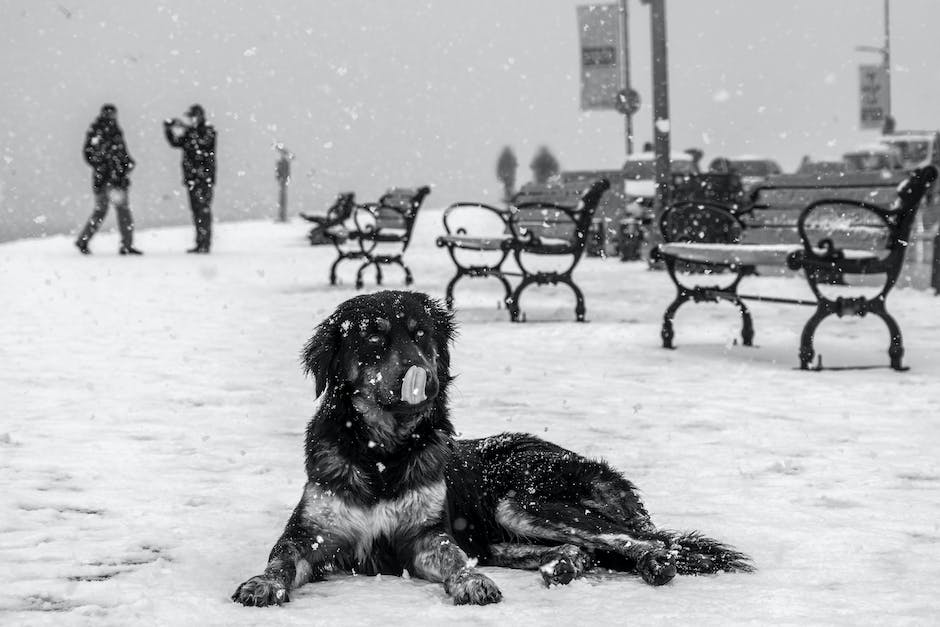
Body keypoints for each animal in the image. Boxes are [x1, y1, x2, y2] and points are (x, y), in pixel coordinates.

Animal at [231, 290, 752, 608]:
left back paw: (654, 564)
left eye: (421, 336)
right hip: (504, 528)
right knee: (582, 548)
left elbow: (454, 558)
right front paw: (261, 584)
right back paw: (564, 565)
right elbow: (280, 560)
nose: (426, 376)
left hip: (522, 499)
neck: (384, 450)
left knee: (643, 540)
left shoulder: (426, 536)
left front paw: (471, 582)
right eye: (374, 337)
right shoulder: (311, 534)